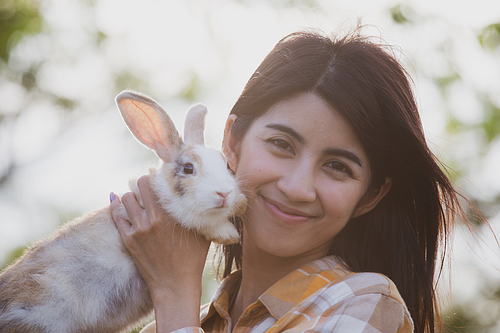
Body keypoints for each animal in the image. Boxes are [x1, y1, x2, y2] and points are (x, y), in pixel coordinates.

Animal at [0, 91, 247, 332]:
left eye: (225, 163)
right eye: (188, 168)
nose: (224, 193)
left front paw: (240, 204)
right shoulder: (177, 211)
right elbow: (204, 221)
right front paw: (229, 233)